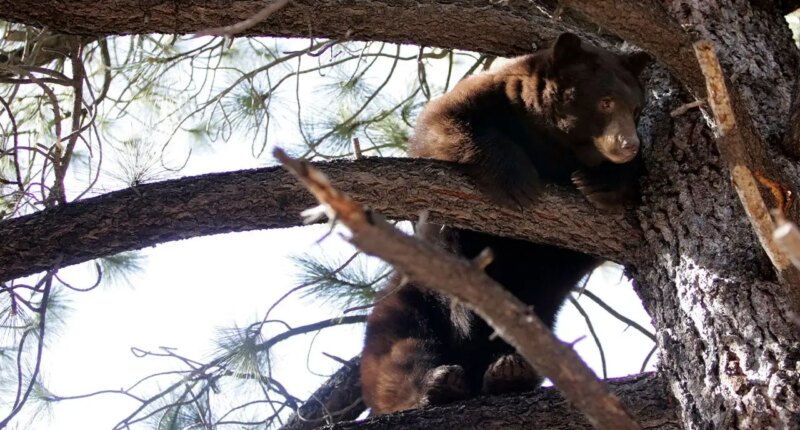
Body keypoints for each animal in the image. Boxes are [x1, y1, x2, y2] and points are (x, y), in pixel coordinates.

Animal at [359, 32, 651, 415]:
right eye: (605, 102)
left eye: (636, 109)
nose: (628, 144)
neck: (553, 143)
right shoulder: (494, 98)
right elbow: (439, 125)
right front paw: (517, 179)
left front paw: (601, 183)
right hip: (411, 301)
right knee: (400, 352)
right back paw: (438, 382)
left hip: (539, 316)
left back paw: (509, 371)